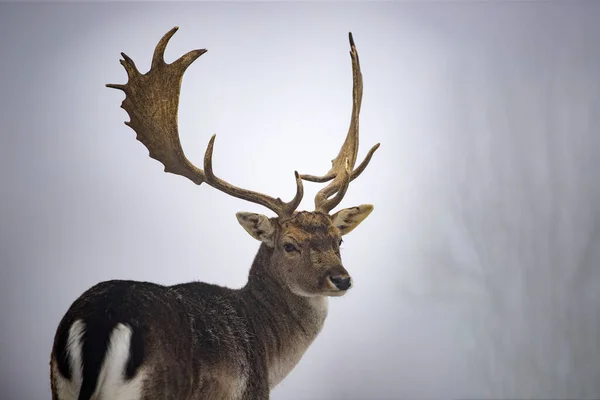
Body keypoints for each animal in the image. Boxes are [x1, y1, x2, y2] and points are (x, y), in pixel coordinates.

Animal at [50, 27, 380, 400]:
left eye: (339, 240)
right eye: (289, 245)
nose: (341, 279)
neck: (270, 357)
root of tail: (100, 321)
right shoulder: (252, 391)